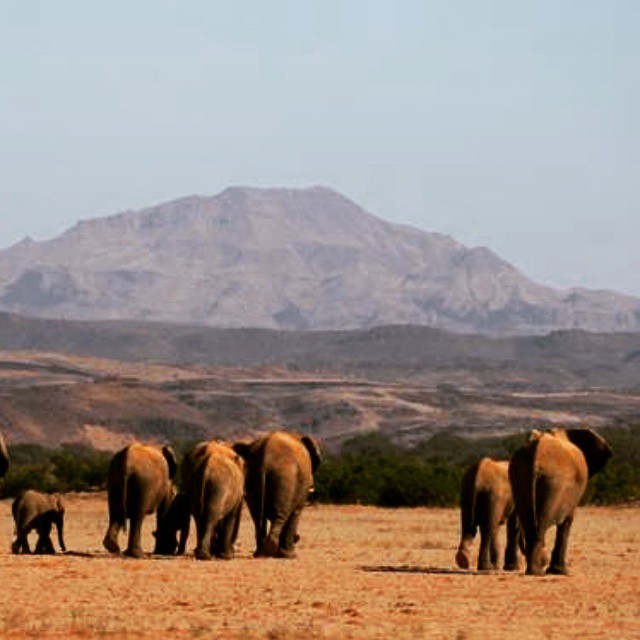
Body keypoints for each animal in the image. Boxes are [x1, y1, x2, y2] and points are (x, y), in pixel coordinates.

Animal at [231, 430, 320, 560]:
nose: (297, 538)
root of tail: (265, 455)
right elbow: (296, 512)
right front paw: (291, 555)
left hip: (250, 476)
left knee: (257, 517)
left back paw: (260, 553)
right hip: (286, 476)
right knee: (279, 517)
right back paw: (278, 553)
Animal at [508, 430, 612, 576]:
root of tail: (536, 453)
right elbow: (567, 521)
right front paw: (560, 572)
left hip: (519, 476)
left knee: (528, 521)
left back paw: (534, 570)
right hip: (555, 482)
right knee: (542, 523)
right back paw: (537, 571)